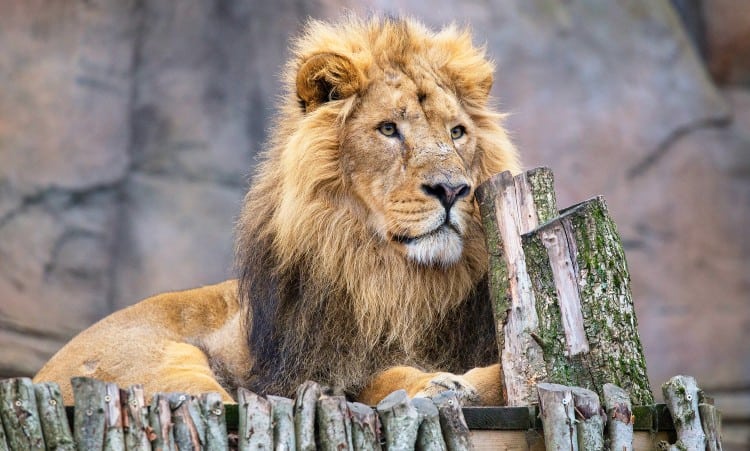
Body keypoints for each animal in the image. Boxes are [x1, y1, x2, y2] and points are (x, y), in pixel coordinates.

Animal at [33, 16, 524, 406]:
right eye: (388, 129)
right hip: (158, 360)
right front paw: (439, 385)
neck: (398, 282)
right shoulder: (308, 371)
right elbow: (383, 378)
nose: (452, 189)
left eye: (457, 132)